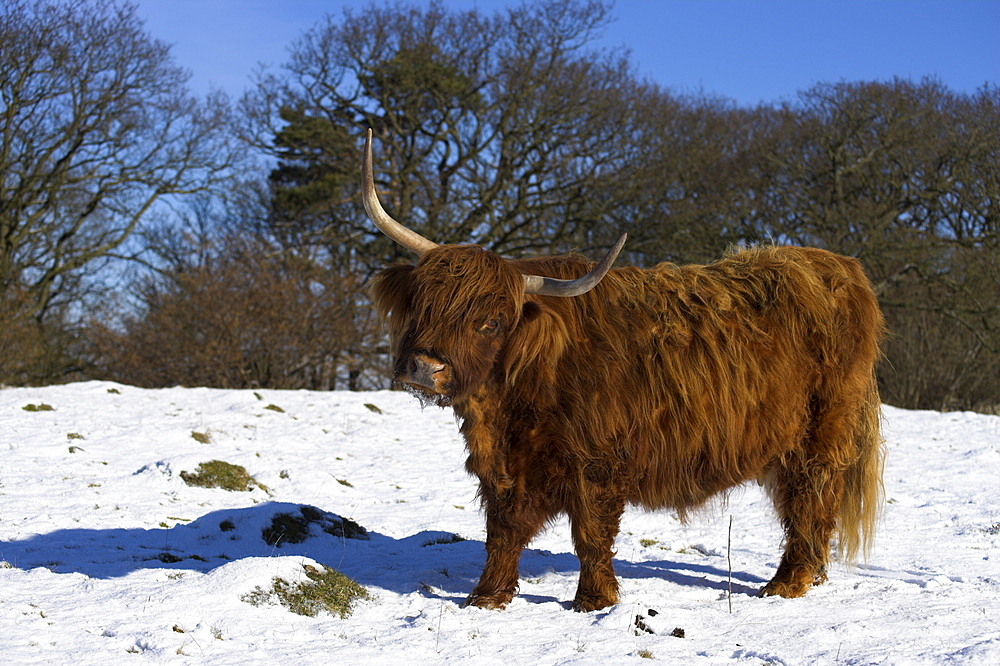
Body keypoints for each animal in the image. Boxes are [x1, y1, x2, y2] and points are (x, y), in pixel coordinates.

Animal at [364, 128, 888, 608]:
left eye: (490, 322)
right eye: (423, 305)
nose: (424, 368)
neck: (510, 399)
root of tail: (838, 267)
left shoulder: (597, 461)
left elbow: (591, 533)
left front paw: (594, 601)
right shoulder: (508, 467)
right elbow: (504, 530)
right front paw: (487, 597)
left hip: (819, 436)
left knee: (810, 503)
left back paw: (786, 586)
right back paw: (810, 579)